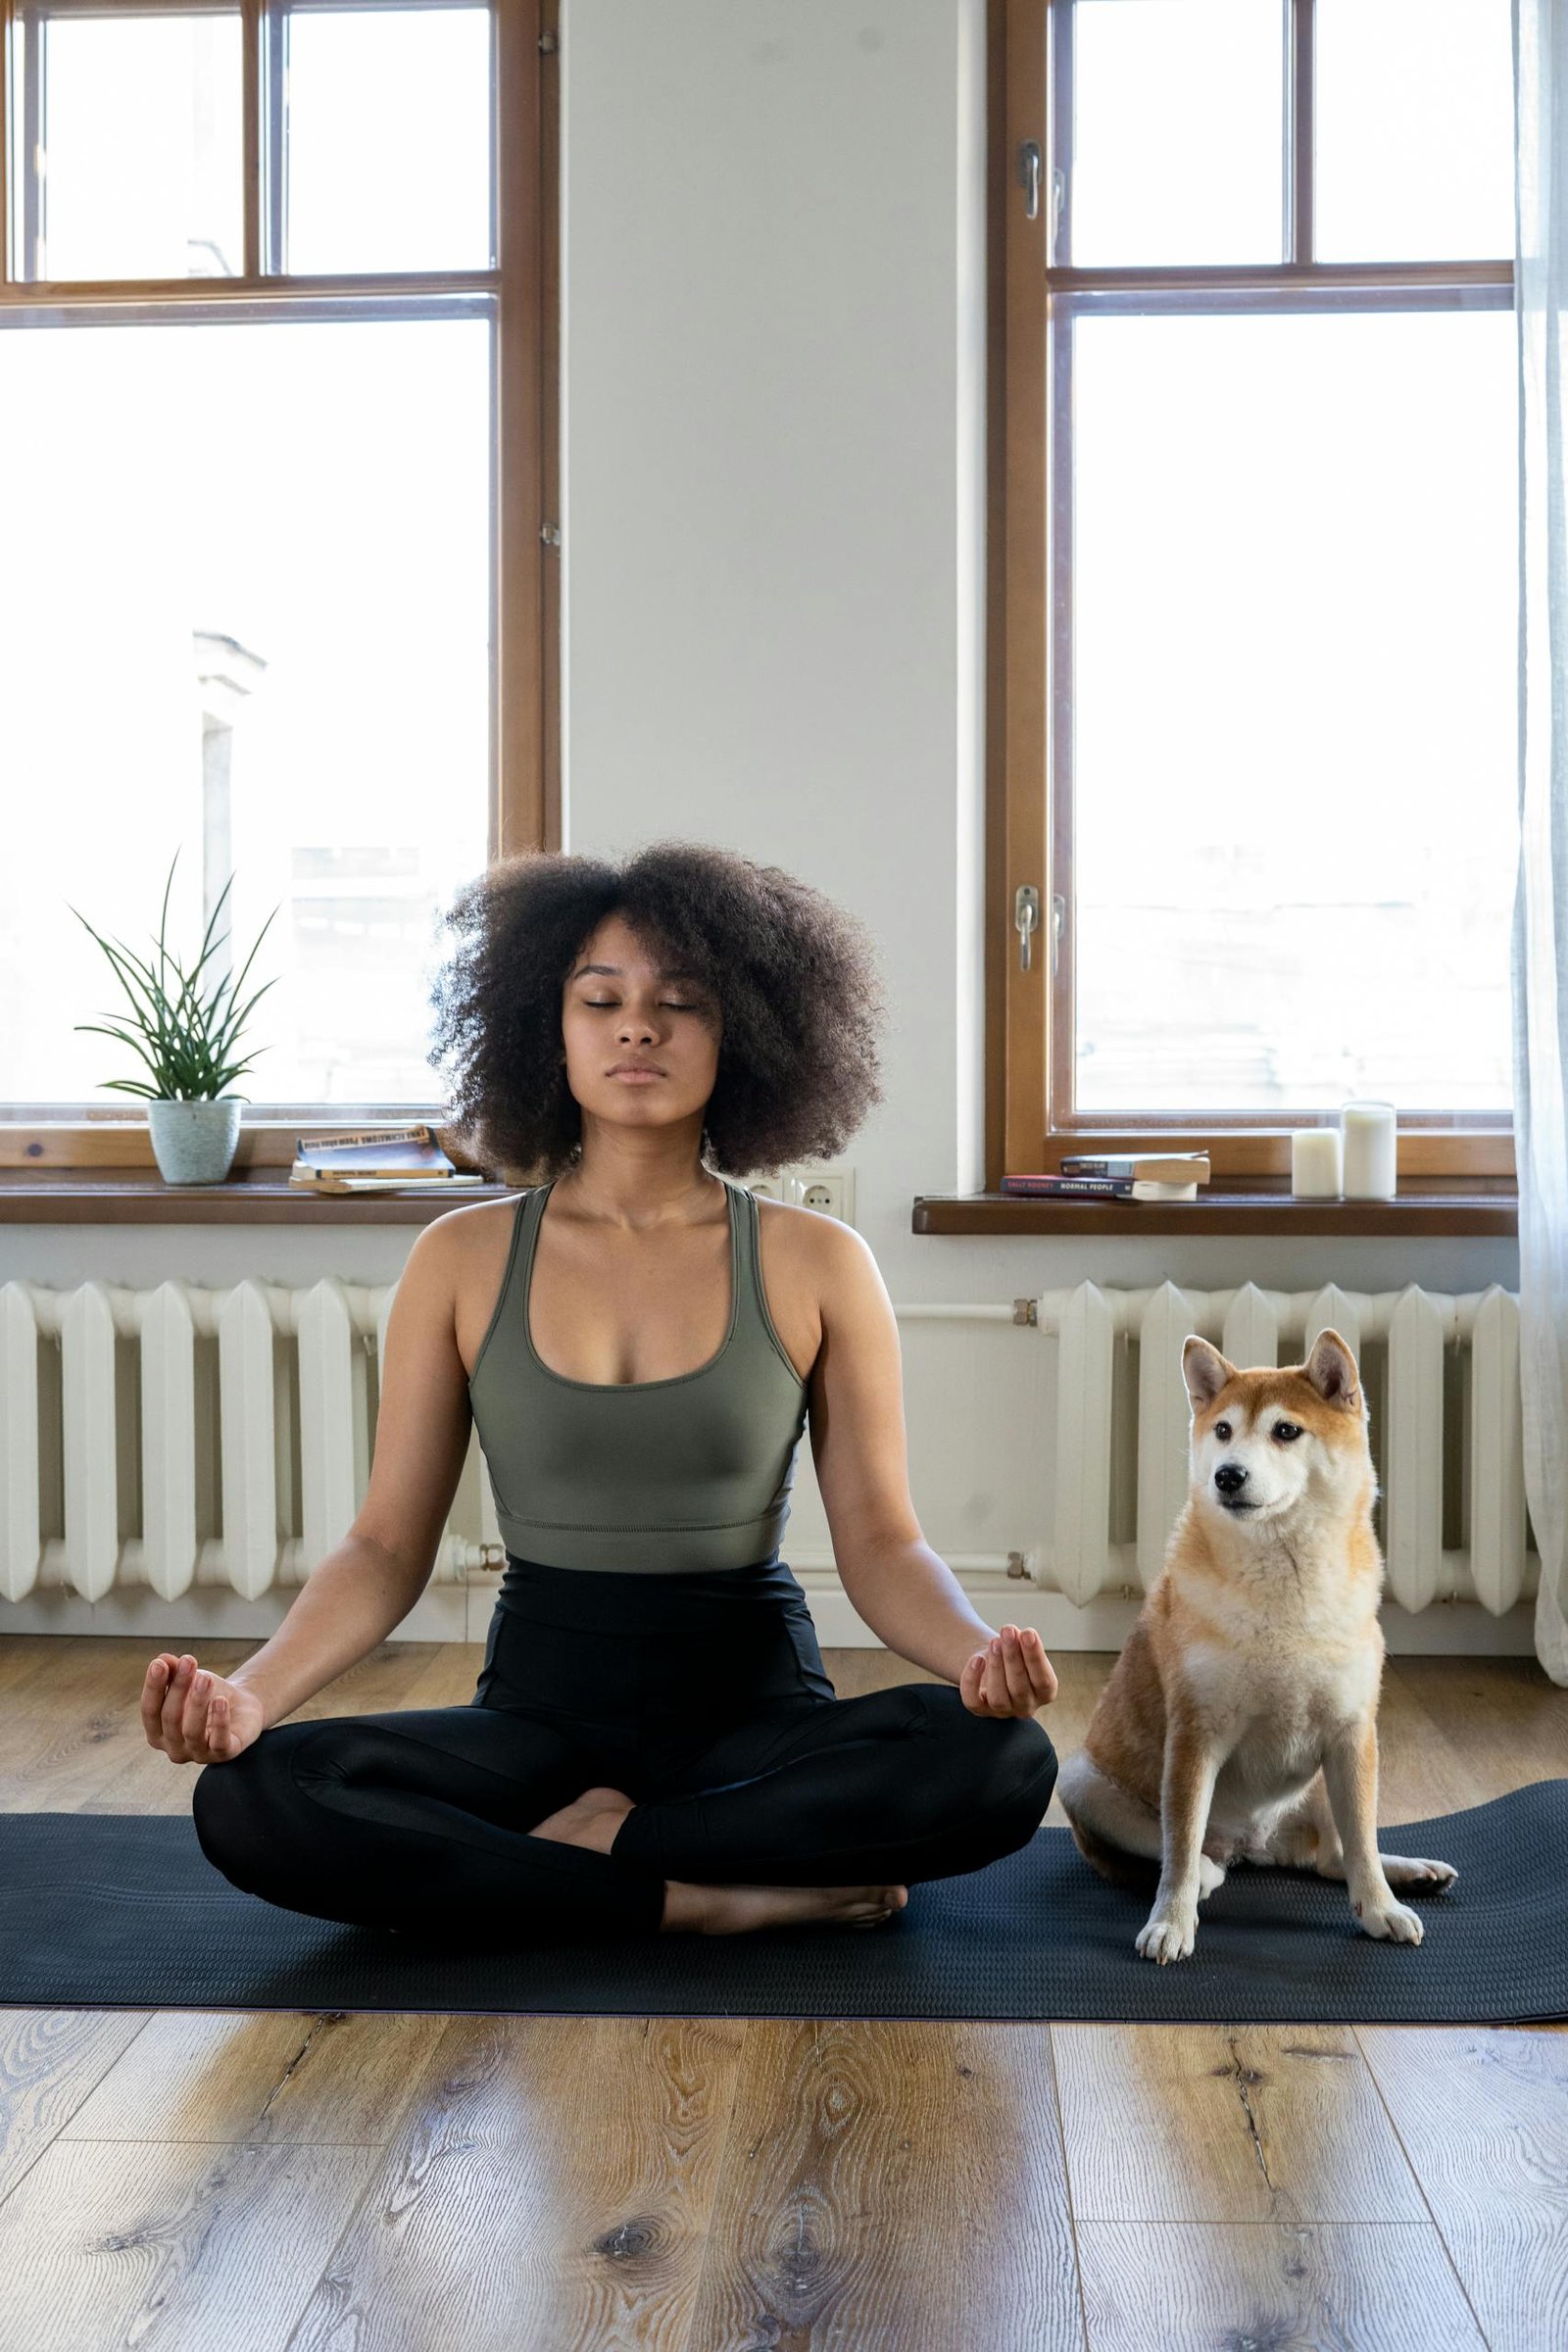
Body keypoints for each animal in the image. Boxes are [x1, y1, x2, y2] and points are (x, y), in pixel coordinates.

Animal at [1053, 1326, 1457, 1966]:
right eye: (1222, 1431)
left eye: (1285, 1431)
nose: (1228, 1475)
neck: (1284, 1587)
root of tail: (1254, 1846)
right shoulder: (1195, 1735)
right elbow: (1180, 1847)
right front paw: (1171, 1922)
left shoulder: (1352, 1733)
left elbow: (1362, 1843)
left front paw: (1382, 1907)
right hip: (1081, 1778)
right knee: (1190, 1856)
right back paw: (1207, 1875)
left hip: (1323, 1783)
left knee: (1334, 1856)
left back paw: (1409, 1873)